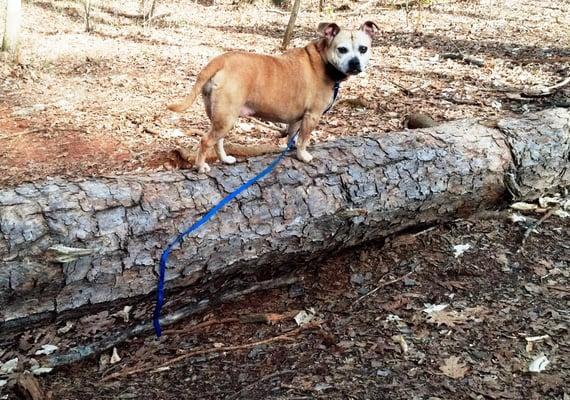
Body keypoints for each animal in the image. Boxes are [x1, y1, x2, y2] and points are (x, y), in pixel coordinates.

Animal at [165, 21, 378, 173]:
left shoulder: (297, 118)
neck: (325, 60)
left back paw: (225, 159)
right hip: (227, 117)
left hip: (219, 117)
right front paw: (303, 155)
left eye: (363, 49)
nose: (355, 63)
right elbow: (304, 139)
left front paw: (291, 149)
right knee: (205, 141)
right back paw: (200, 167)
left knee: (218, 141)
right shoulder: (312, 116)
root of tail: (220, 60)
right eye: (342, 49)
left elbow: (293, 135)